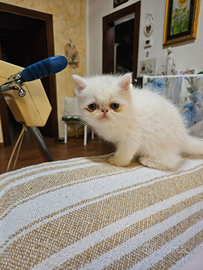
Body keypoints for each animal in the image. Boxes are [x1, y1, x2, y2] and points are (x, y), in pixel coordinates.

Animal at [72, 73, 203, 170]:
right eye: (92, 106)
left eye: (114, 106)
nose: (104, 110)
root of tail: (184, 136)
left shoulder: (132, 136)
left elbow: (125, 152)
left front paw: (117, 161)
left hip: (158, 144)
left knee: (172, 161)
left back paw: (147, 160)